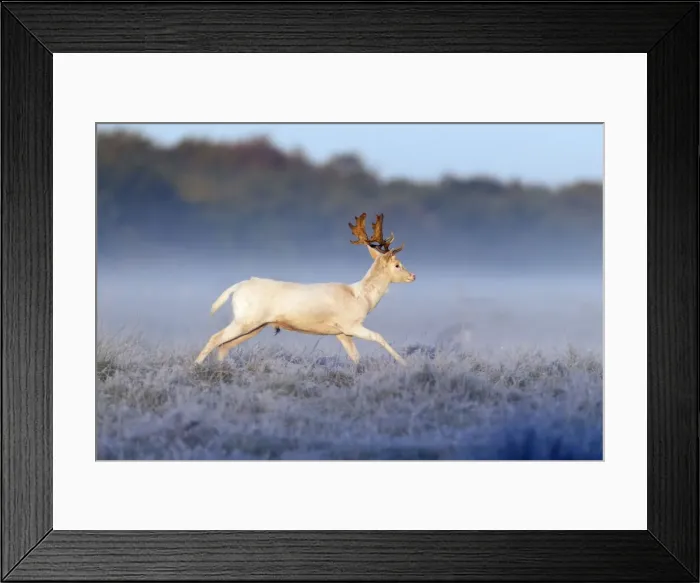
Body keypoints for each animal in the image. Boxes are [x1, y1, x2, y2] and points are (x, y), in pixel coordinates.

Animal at [194, 213, 416, 366]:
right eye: (397, 264)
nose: (412, 276)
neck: (361, 298)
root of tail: (237, 287)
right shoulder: (350, 324)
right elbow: (379, 337)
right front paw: (404, 364)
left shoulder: (341, 332)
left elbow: (356, 357)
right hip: (246, 319)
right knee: (216, 338)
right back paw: (196, 366)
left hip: (254, 325)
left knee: (224, 346)